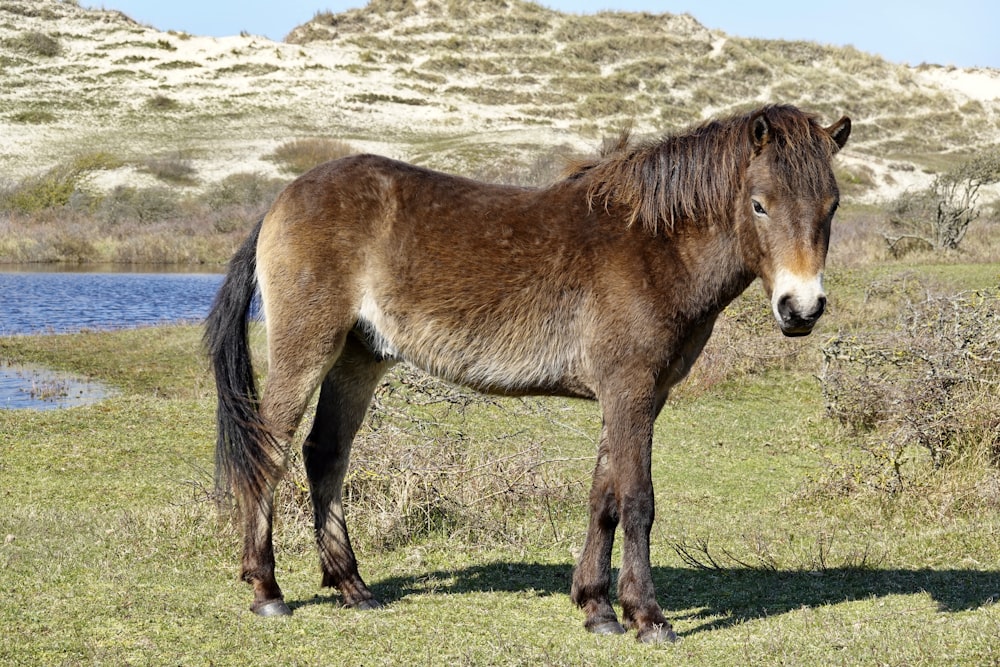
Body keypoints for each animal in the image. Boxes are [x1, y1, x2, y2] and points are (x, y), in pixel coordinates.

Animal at [205, 104, 852, 640]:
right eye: (760, 204)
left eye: (832, 207)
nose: (801, 310)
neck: (655, 244)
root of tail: (281, 199)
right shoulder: (630, 390)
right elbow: (637, 500)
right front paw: (647, 617)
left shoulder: (633, 395)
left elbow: (603, 498)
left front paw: (596, 608)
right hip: (308, 348)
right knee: (271, 451)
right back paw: (267, 589)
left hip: (359, 357)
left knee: (326, 454)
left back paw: (351, 586)